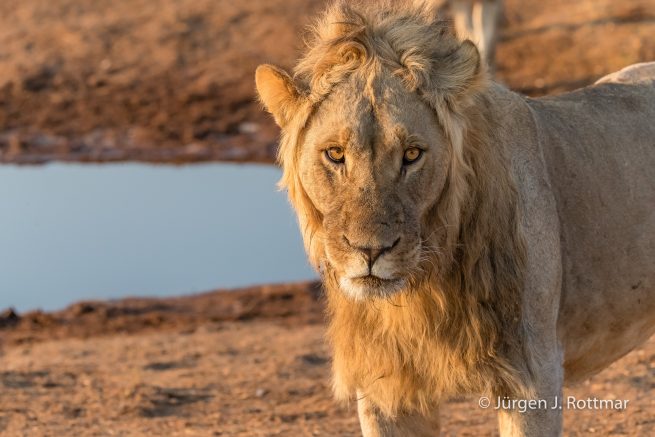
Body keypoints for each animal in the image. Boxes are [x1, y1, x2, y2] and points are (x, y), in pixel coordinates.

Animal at [255, 1, 655, 435]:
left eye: (412, 154)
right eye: (335, 154)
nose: (371, 251)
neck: (422, 290)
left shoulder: (535, 375)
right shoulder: (386, 387)